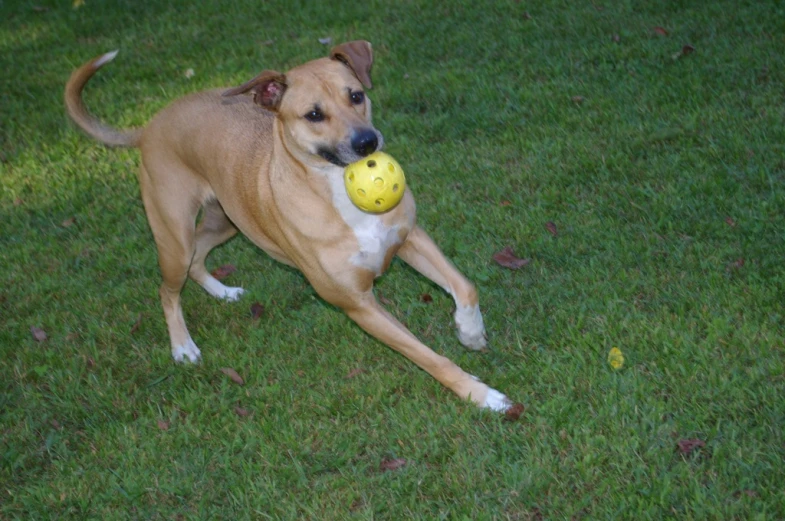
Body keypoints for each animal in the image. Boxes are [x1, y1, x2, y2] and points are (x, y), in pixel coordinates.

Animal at [66, 40, 516, 412]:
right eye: (314, 114)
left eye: (356, 95)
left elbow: (465, 286)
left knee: (198, 257)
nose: (368, 143)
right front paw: (481, 395)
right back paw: (183, 346)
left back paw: (223, 292)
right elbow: (429, 357)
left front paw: (470, 332)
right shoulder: (358, 303)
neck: (338, 193)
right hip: (173, 235)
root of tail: (150, 126)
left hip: (228, 221)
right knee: (167, 288)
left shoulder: (409, 238)